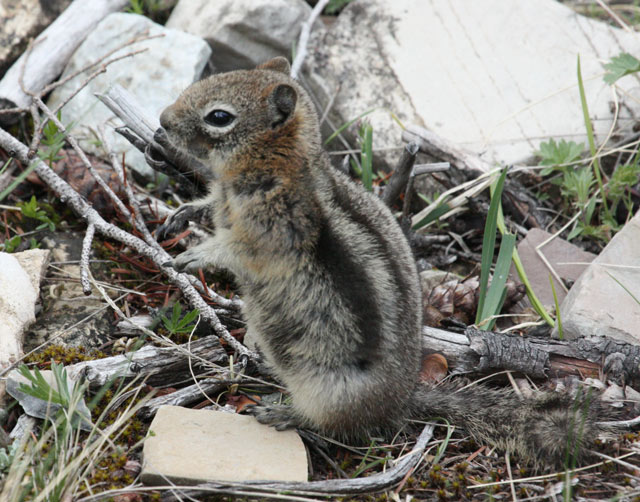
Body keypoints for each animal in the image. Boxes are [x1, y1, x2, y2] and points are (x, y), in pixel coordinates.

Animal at [156, 57, 612, 467]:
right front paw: (184, 214)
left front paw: (193, 254)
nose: (162, 120)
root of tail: (400, 399)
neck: (279, 164)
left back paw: (283, 412)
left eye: (219, 116)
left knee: (331, 423)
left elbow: (236, 249)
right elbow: (208, 207)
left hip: (328, 391)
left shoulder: (273, 230)